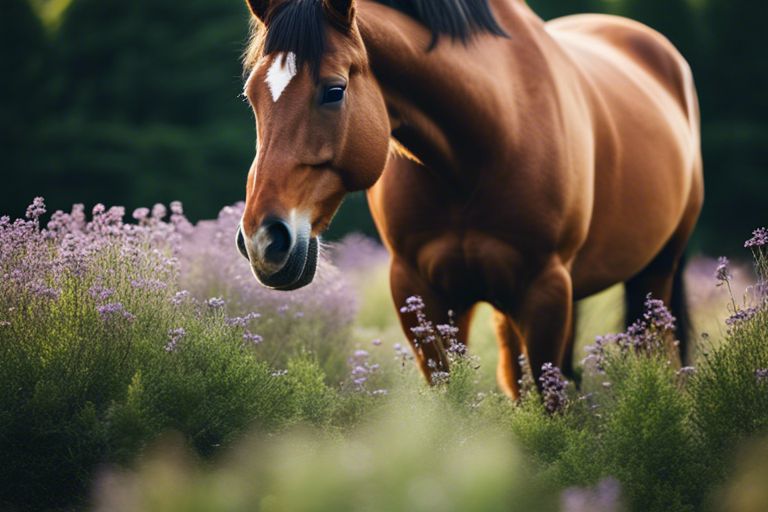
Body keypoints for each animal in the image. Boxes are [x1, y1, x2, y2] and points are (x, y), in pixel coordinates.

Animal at [236, 0, 704, 398]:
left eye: (334, 91)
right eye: (251, 95)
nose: (262, 241)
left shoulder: (545, 288)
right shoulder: (419, 291)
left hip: (654, 276)